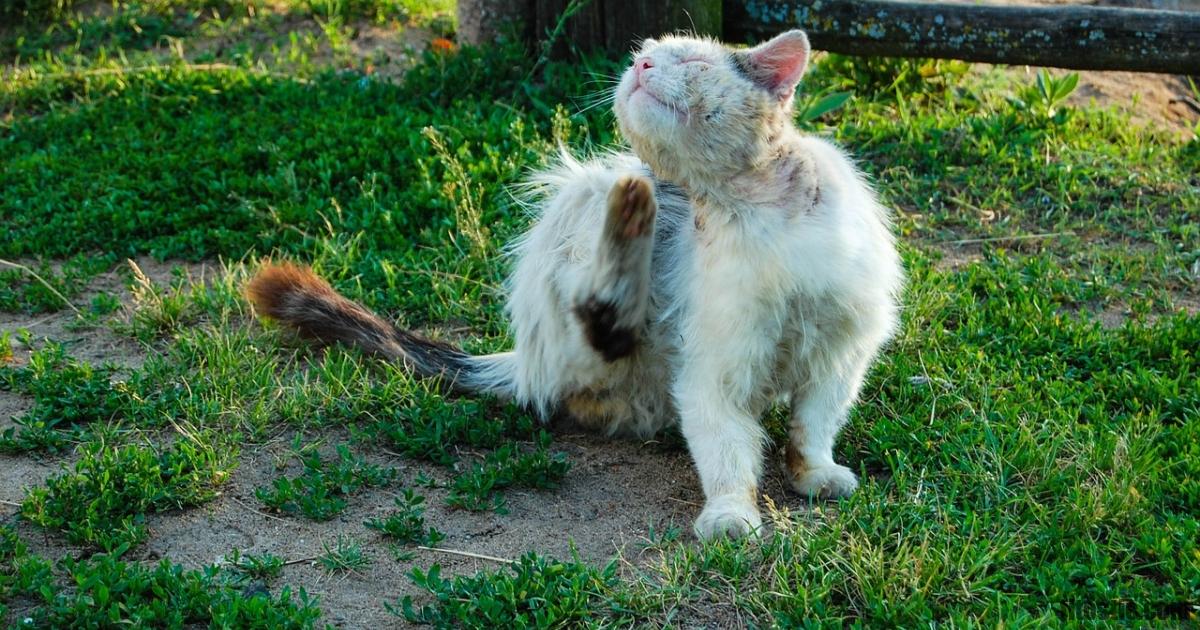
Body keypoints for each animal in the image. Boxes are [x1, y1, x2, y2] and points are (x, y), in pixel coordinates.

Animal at [250, 29, 902, 537]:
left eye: (689, 61)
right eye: (645, 55)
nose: (639, 67)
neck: (752, 212)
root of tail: (522, 359)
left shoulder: (841, 353)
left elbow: (813, 424)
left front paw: (815, 473)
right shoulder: (713, 371)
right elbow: (725, 451)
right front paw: (730, 514)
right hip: (584, 195)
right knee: (596, 319)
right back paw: (631, 218)